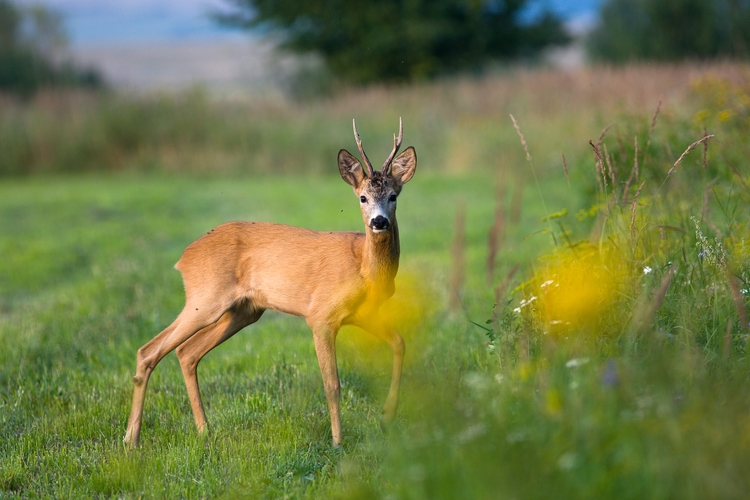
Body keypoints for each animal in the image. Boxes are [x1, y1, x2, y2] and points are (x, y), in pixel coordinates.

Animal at [123, 118, 418, 450]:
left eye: (393, 196)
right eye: (362, 198)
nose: (379, 222)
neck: (364, 268)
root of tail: (184, 257)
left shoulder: (362, 314)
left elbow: (399, 343)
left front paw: (386, 418)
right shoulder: (321, 316)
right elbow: (332, 384)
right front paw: (338, 442)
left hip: (244, 311)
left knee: (187, 353)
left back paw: (203, 431)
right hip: (206, 298)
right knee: (149, 351)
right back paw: (131, 440)